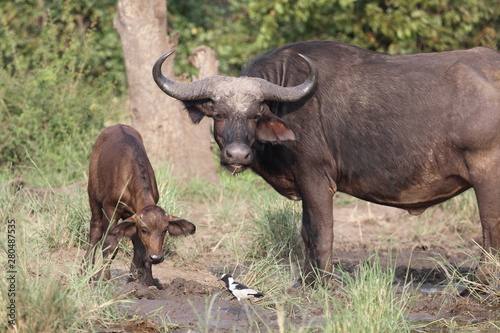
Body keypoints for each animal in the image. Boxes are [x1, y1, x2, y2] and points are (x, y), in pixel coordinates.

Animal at [82, 123, 195, 284]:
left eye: (165, 229)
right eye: (144, 229)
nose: (156, 257)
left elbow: (141, 247)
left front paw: (147, 280)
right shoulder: (110, 208)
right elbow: (110, 244)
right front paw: (103, 277)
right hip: (93, 198)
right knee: (95, 230)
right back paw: (85, 269)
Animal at [152, 40, 500, 286]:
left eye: (255, 114)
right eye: (219, 113)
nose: (237, 155)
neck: (286, 107)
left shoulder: (316, 180)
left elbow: (321, 232)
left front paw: (321, 282)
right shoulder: (304, 183)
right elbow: (305, 232)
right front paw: (304, 280)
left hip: (487, 176)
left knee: (490, 229)